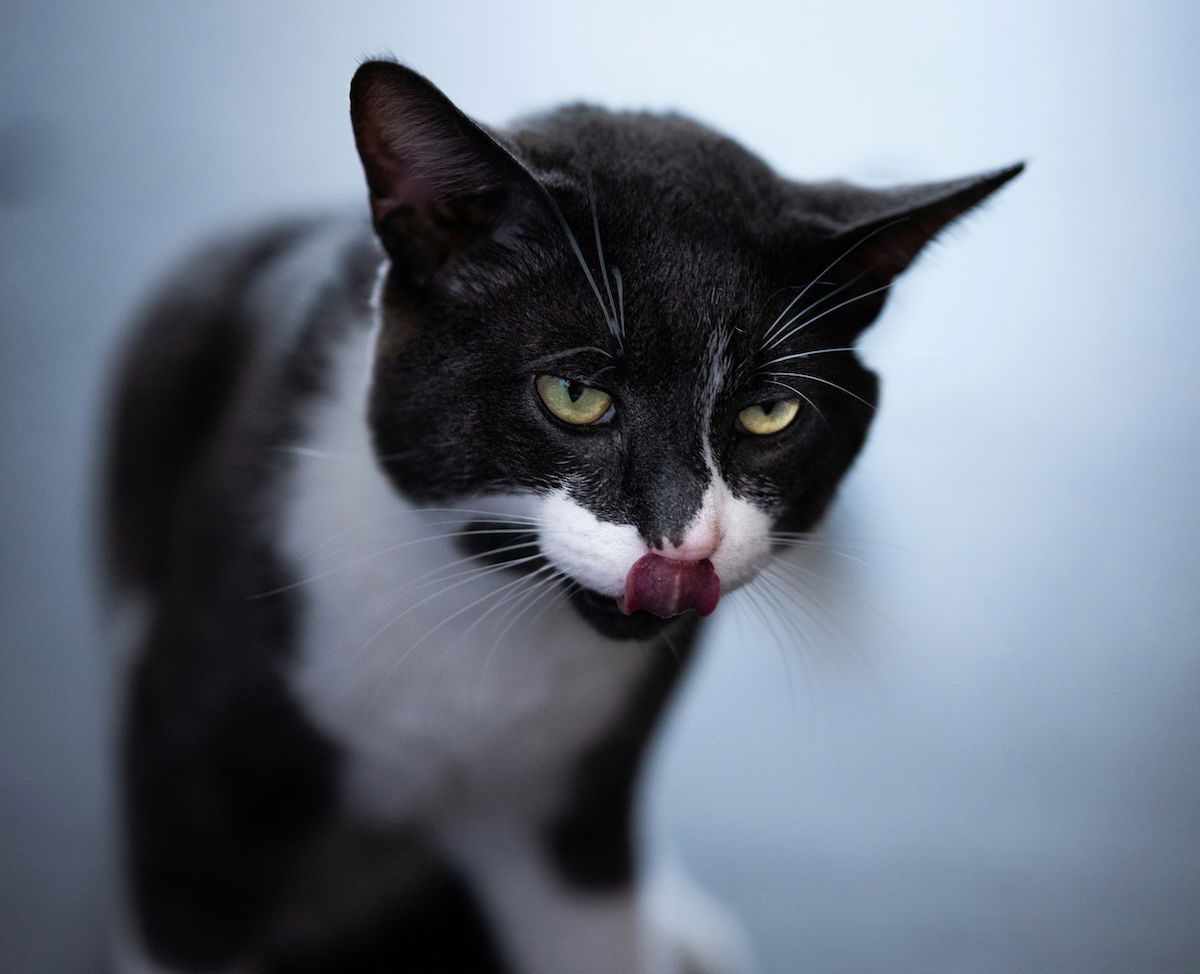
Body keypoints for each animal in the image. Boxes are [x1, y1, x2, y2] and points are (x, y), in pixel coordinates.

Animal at [105, 60, 1022, 974]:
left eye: (770, 413)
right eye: (574, 394)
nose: (687, 546)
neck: (478, 613)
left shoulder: (579, 813)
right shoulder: (199, 780)